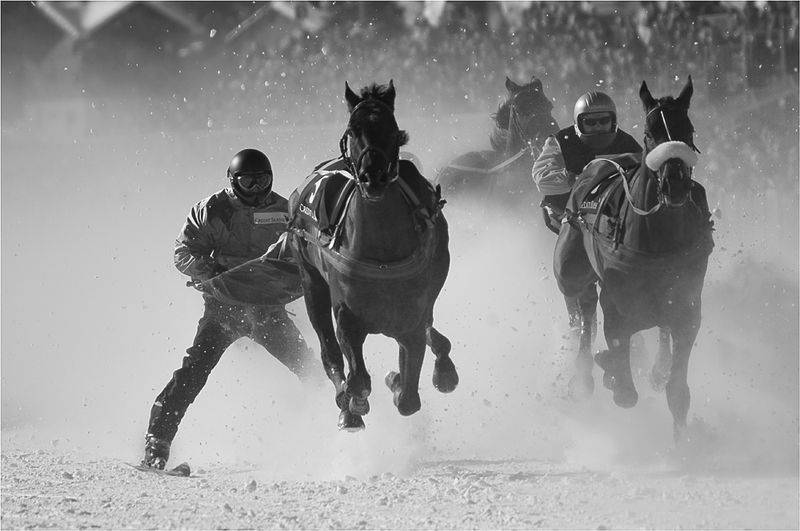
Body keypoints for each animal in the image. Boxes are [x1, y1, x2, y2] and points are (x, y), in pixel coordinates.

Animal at [288, 82, 456, 432]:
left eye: (392, 130)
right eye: (353, 129)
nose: (372, 177)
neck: (381, 252)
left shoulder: (410, 318)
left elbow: (408, 398)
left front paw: (397, 381)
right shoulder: (346, 313)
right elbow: (358, 379)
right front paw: (353, 402)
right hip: (310, 280)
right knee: (328, 349)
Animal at [556, 76, 712, 440]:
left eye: (689, 129)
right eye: (650, 133)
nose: (674, 183)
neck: (657, 238)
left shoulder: (686, 306)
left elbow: (677, 388)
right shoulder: (617, 302)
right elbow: (624, 386)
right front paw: (610, 370)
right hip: (569, 261)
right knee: (582, 306)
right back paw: (584, 373)